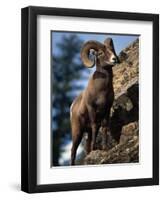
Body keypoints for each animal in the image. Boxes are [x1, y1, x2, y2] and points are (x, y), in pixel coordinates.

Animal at [69, 38, 119, 166]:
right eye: (100, 53)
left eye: (111, 49)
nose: (114, 59)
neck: (102, 90)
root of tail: (72, 108)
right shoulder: (92, 108)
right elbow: (95, 126)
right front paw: (95, 148)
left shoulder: (107, 108)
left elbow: (105, 127)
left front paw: (105, 148)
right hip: (77, 132)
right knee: (73, 150)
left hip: (87, 133)